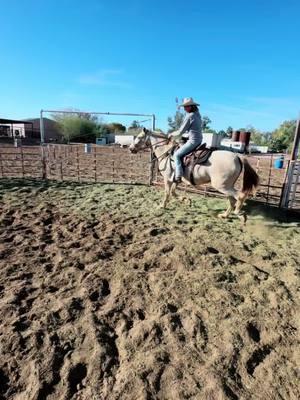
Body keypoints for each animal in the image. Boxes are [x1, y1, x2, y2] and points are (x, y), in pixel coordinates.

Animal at [129, 128, 260, 222]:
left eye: (139, 137)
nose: (130, 149)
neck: (167, 153)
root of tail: (237, 156)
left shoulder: (168, 179)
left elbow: (167, 193)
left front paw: (162, 206)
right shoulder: (176, 179)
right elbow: (173, 193)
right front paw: (187, 200)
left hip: (222, 186)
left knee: (240, 196)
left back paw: (239, 214)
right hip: (227, 186)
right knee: (232, 199)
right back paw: (224, 215)